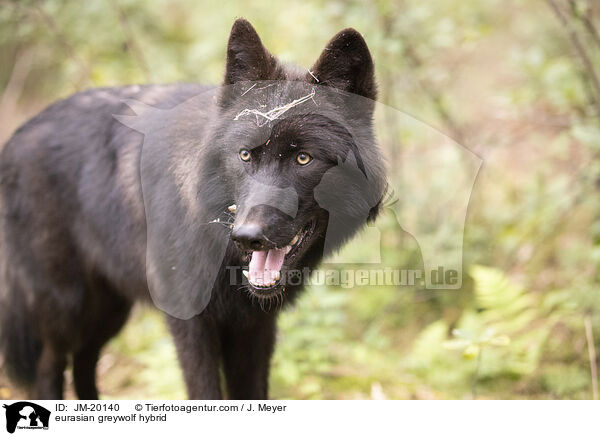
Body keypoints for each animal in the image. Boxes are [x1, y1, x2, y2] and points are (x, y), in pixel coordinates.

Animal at [0, 19, 384, 398]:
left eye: (303, 158)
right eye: (245, 155)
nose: (248, 236)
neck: (223, 249)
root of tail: (16, 137)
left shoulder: (254, 327)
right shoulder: (190, 323)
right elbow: (204, 392)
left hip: (108, 312)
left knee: (84, 361)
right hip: (67, 308)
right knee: (48, 367)